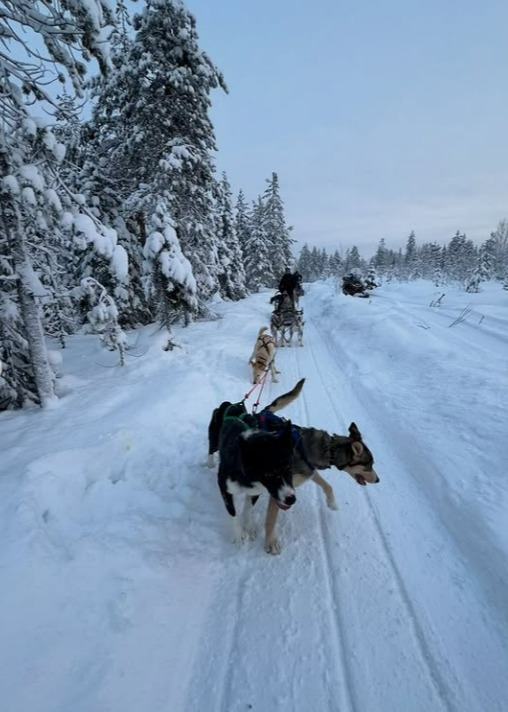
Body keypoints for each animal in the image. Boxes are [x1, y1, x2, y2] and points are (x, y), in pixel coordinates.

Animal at [206, 400, 294, 544]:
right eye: (269, 474)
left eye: (289, 468)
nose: (291, 499)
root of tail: (229, 404)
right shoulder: (224, 488)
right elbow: (233, 512)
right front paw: (239, 535)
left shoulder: (255, 491)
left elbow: (247, 510)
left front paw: (248, 527)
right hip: (213, 439)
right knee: (210, 450)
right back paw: (209, 463)